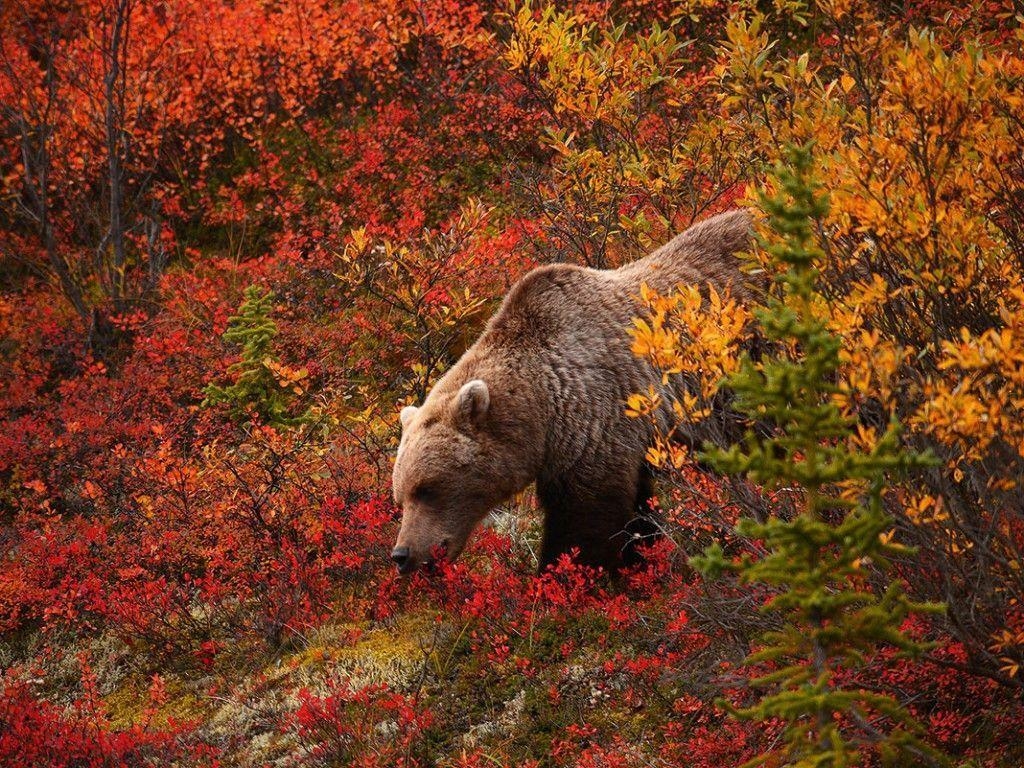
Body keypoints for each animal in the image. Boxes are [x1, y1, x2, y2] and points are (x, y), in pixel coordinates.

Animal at [389, 207, 753, 573]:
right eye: (400, 495)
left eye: (428, 488)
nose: (402, 555)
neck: (543, 408)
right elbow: (638, 515)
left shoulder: (596, 419)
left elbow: (585, 522)